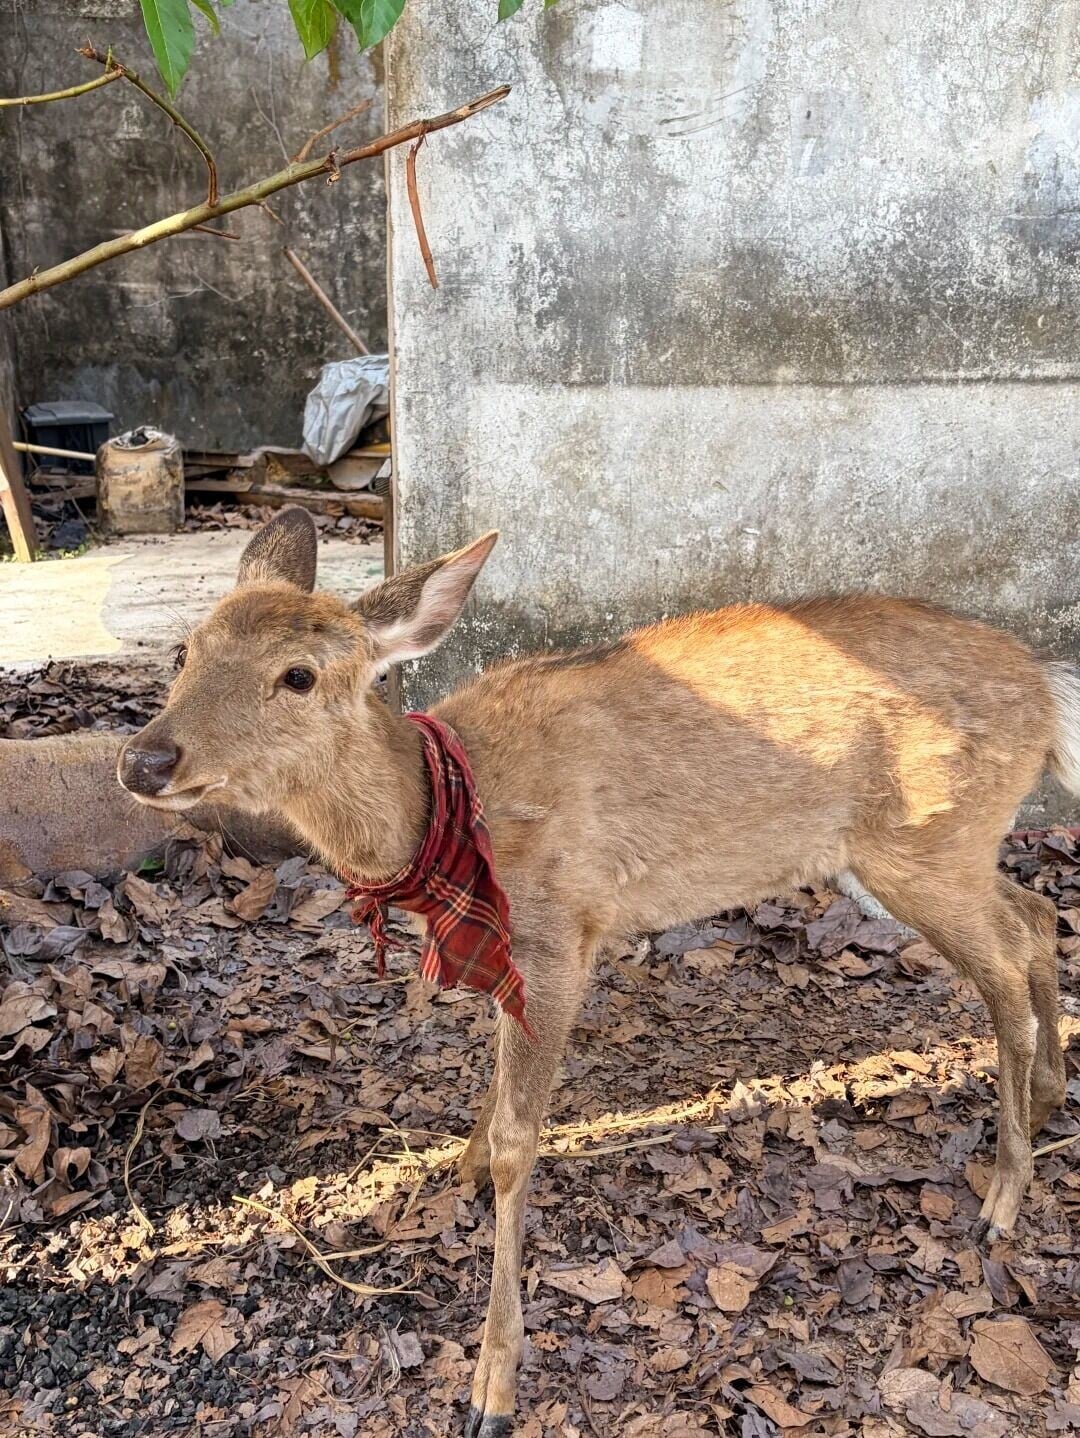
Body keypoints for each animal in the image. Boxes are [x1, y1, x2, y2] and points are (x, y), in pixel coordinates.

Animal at [118, 507, 1078, 1438]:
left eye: (299, 676)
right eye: (189, 649)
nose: (145, 760)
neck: (445, 814)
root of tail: (1047, 689)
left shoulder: (561, 932)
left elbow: (522, 1138)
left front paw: (492, 1387)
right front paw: (461, 1168)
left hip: (925, 838)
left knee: (1003, 964)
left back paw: (1002, 1200)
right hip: (949, 848)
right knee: (1036, 918)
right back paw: (1047, 1102)